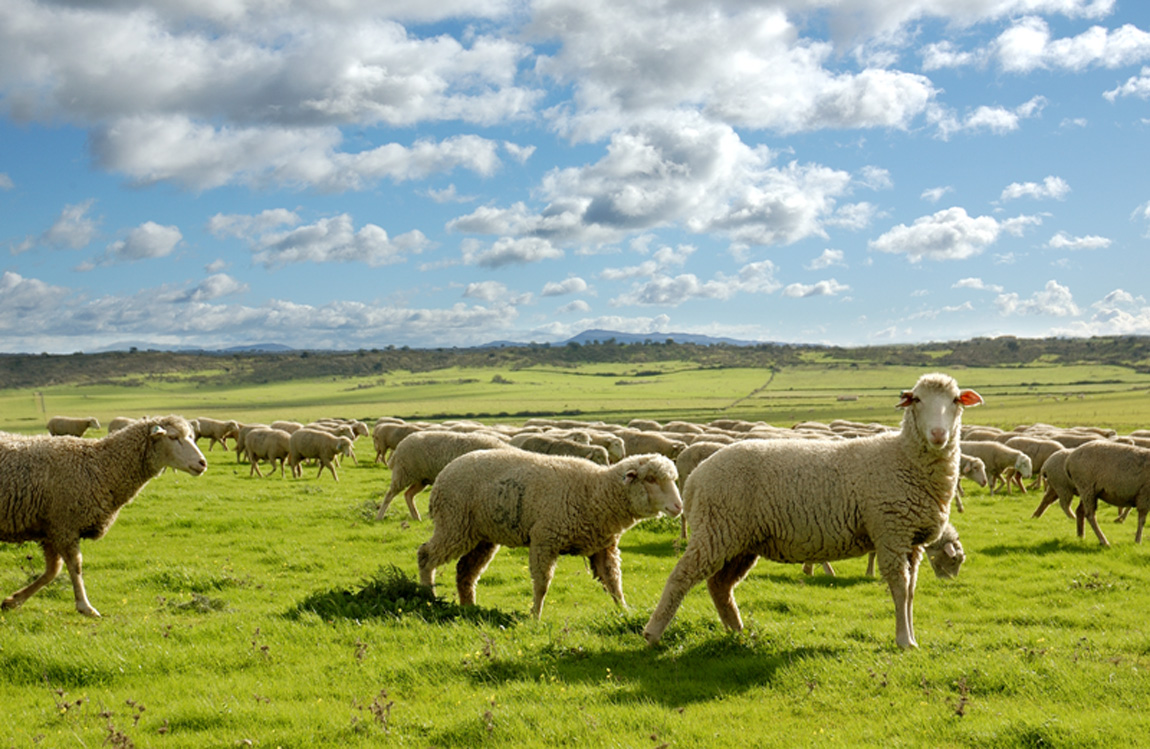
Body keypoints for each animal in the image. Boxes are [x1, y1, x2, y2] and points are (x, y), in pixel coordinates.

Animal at [1, 414, 207, 616]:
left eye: (191, 436)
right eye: (173, 437)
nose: (203, 463)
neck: (100, 466)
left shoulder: (51, 528)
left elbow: (52, 572)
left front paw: (13, 601)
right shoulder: (64, 525)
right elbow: (75, 567)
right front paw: (85, 606)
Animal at [374, 428, 510, 522]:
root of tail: (399, 447)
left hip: (421, 479)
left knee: (408, 495)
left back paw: (416, 517)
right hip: (403, 473)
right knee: (389, 495)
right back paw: (379, 516)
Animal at [416, 451, 676, 621]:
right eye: (650, 479)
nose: (678, 506)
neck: (594, 492)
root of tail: (445, 471)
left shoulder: (603, 548)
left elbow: (614, 583)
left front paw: (624, 610)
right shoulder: (544, 540)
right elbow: (542, 584)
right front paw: (536, 616)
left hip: (482, 537)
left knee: (465, 571)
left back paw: (469, 608)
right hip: (454, 524)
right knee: (425, 554)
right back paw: (428, 596)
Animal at [644, 372, 984, 648]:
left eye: (956, 400)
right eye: (917, 400)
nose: (938, 434)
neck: (904, 458)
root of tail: (695, 477)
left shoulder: (911, 540)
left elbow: (911, 591)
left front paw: (912, 637)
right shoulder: (891, 532)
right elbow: (899, 588)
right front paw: (903, 641)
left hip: (739, 541)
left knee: (720, 586)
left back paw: (738, 633)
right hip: (717, 530)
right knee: (681, 576)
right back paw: (653, 634)